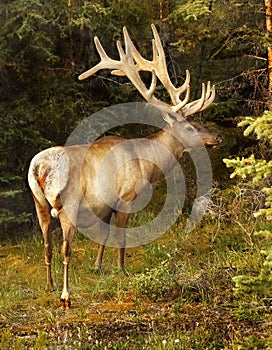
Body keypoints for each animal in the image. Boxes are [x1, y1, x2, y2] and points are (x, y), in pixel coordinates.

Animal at [28, 24, 223, 308]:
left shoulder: (105, 203)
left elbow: (103, 235)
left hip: (39, 203)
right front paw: (122, 270)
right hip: (68, 204)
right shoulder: (127, 195)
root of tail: (39, 168)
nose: (217, 138)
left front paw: (98, 267)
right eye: (190, 127)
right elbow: (121, 237)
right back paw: (66, 295)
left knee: (46, 246)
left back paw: (49, 286)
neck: (147, 164)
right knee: (65, 248)